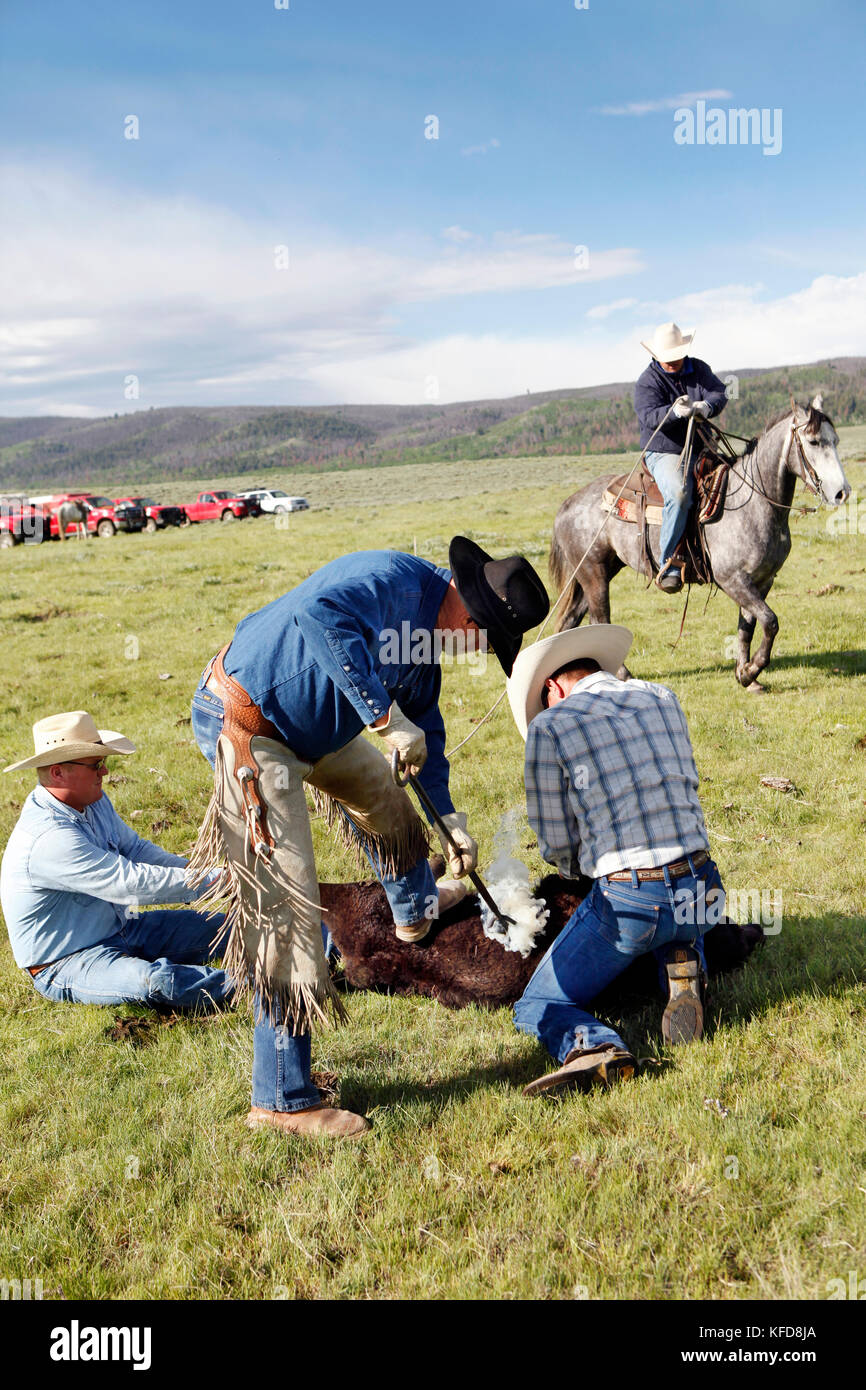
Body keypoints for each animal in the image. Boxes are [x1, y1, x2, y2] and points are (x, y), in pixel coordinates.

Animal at [553, 397, 850, 689]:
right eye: (813, 441)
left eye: (836, 440)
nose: (841, 492)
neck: (752, 502)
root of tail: (568, 503)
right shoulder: (732, 579)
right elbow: (770, 621)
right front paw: (751, 671)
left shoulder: (761, 580)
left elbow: (748, 626)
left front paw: (745, 675)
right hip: (594, 573)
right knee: (599, 619)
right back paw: (623, 675)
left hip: (596, 572)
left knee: (574, 621)